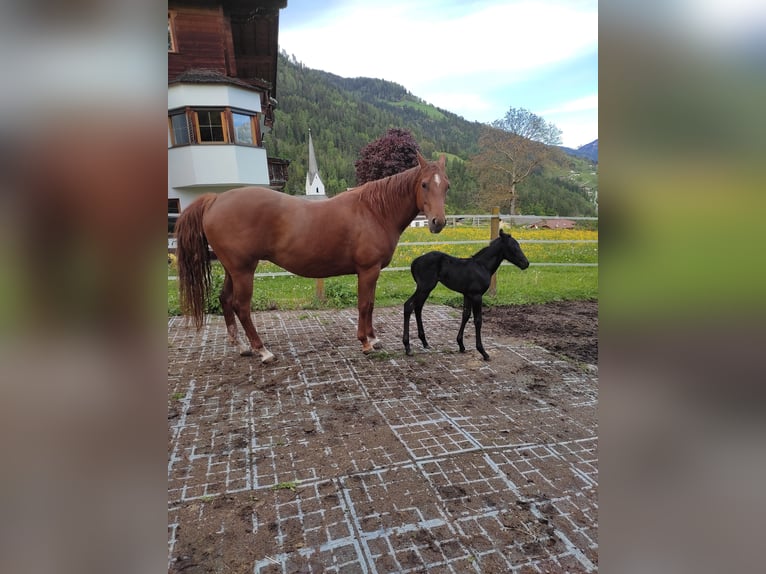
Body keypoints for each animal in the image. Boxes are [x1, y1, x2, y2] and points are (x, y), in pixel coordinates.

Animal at [175, 152, 449, 363]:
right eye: (424, 184)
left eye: (446, 185)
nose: (438, 222)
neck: (374, 211)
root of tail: (215, 199)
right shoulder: (367, 270)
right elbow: (364, 305)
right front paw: (365, 343)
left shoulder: (372, 272)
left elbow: (370, 304)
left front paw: (373, 338)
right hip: (243, 271)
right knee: (241, 306)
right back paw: (262, 351)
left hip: (232, 270)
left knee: (224, 300)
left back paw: (241, 347)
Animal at [402, 229, 529, 361]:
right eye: (513, 247)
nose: (526, 263)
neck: (482, 266)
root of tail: (415, 262)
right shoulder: (477, 295)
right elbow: (478, 320)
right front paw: (483, 352)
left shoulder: (467, 295)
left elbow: (466, 315)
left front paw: (461, 345)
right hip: (424, 287)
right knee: (409, 305)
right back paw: (407, 347)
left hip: (425, 289)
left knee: (418, 308)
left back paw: (424, 342)